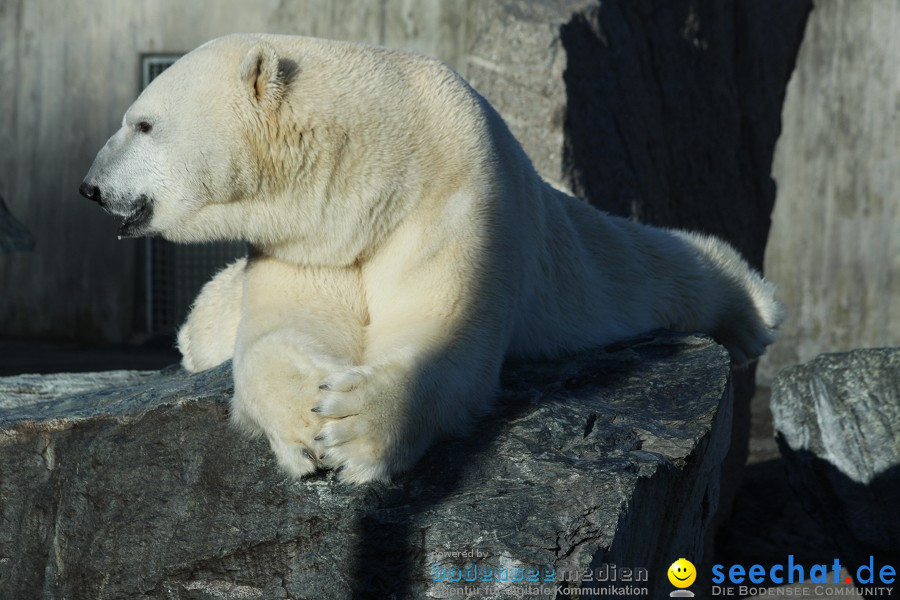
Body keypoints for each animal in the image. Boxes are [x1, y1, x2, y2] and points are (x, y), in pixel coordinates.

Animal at [81, 34, 784, 482]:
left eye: (142, 125)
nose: (89, 187)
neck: (373, 161)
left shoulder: (461, 195)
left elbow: (443, 325)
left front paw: (355, 428)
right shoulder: (308, 237)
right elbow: (283, 326)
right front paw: (304, 417)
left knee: (654, 264)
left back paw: (753, 313)